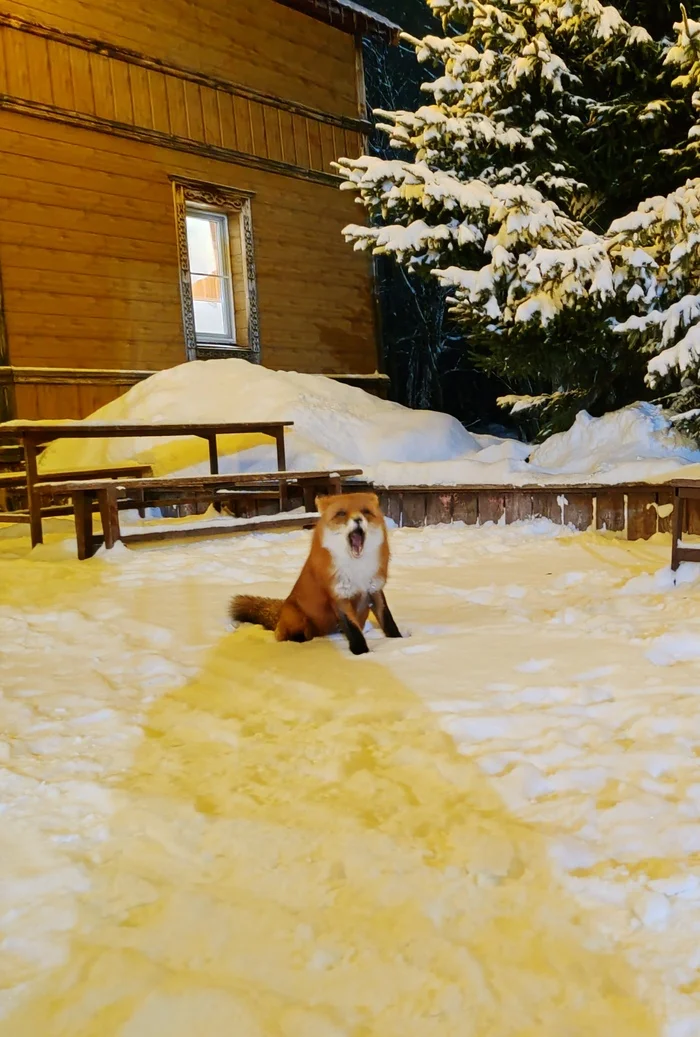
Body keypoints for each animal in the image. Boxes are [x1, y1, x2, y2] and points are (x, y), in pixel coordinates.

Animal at [230, 492, 401, 655]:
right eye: (341, 513)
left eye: (365, 511)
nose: (358, 519)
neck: (357, 569)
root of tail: (281, 611)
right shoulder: (338, 595)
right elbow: (353, 630)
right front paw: (361, 652)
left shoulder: (374, 589)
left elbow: (388, 620)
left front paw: (398, 640)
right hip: (298, 619)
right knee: (288, 635)